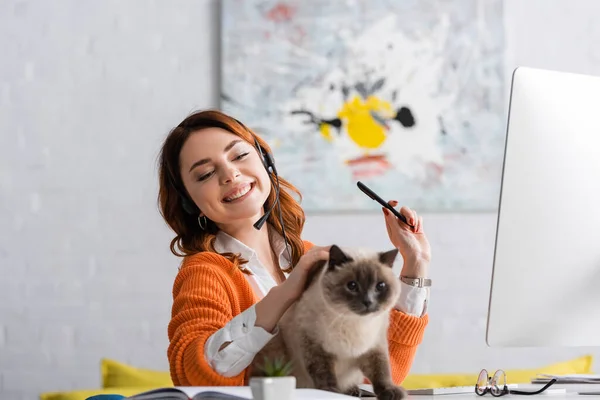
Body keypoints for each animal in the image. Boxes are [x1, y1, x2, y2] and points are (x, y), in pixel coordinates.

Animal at [251, 244, 406, 400]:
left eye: (380, 286)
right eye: (352, 285)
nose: (368, 302)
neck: (353, 321)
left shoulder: (374, 347)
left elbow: (381, 372)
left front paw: (391, 392)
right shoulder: (315, 346)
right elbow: (324, 373)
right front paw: (330, 392)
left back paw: (353, 391)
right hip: (276, 346)